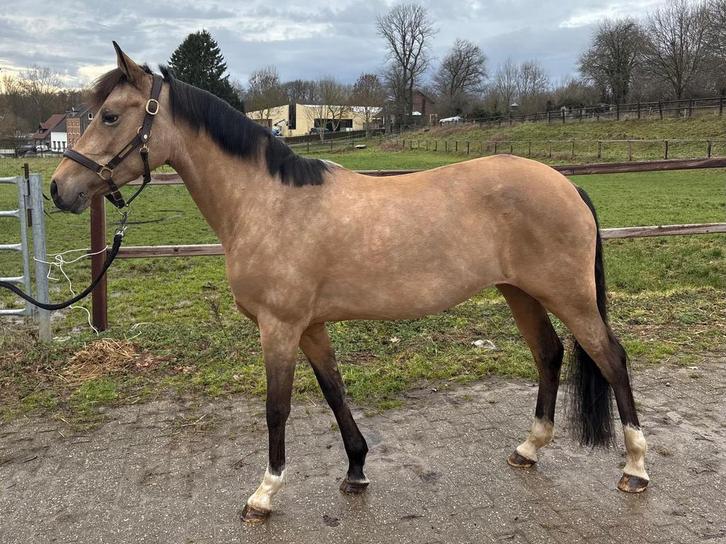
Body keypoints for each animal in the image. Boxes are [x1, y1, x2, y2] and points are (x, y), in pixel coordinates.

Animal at [50, 44, 650, 524]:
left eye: (109, 115)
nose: (60, 188)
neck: (268, 203)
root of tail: (566, 184)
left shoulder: (279, 326)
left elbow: (277, 407)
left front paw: (265, 494)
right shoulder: (310, 326)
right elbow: (334, 391)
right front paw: (356, 469)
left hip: (569, 296)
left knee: (611, 358)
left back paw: (636, 468)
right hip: (520, 292)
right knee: (549, 354)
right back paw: (529, 448)